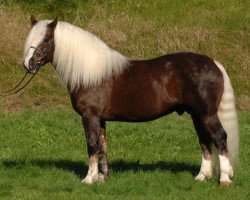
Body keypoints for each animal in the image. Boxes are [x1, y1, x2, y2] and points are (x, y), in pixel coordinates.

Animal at [23, 16, 238, 187]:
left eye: (46, 39)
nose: (28, 64)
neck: (92, 74)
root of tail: (213, 63)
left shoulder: (89, 116)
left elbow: (91, 145)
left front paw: (89, 179)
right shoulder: (100, 119)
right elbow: (102, 146)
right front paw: (103, 178)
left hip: (206, 114)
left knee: (220, 137)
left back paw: (225, 179)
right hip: (196, 115)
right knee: (204, 140)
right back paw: (202, 176)